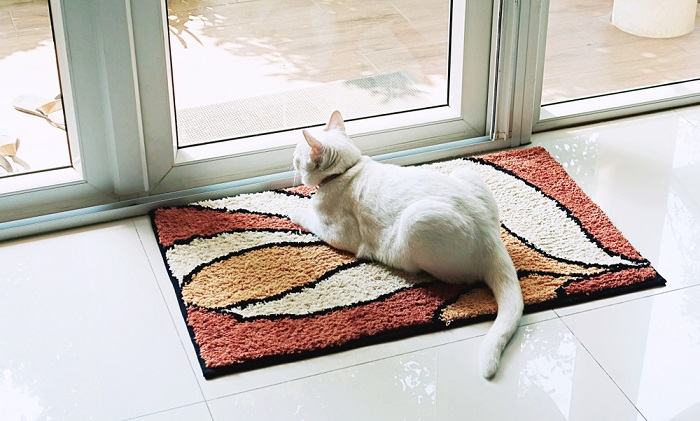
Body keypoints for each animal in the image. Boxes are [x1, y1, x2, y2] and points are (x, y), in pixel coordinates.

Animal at [288, 110, 524, 378]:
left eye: (297, 154)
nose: (291, 160)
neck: (349, 169)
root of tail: (491, 237)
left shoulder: (336, 234)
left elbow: (308, 216)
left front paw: (292, 209)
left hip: (416, 220)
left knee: (459, 278)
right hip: (465, 171)